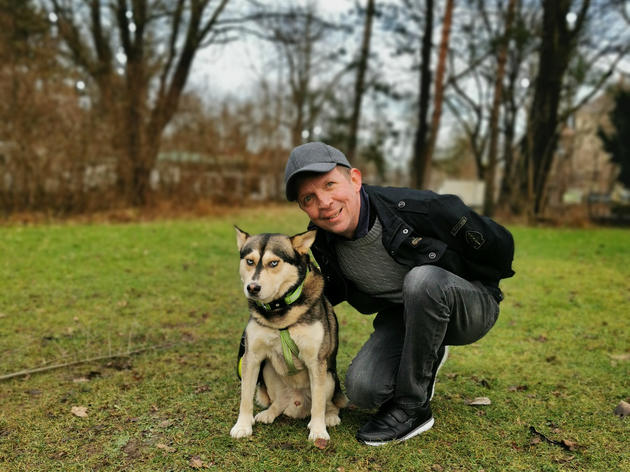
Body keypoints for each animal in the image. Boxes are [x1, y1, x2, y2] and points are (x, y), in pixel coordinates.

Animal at [231, 228, 350, 442]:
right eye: (250, 261)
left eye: (274, 263)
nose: (252, 287)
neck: (280, 311)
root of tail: (297, 404)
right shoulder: (252, 357)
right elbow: (245, 397)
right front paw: (242, 426)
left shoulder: (316, 361)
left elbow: (318, 404)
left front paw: (318, 431)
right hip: (267, 371)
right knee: (278, 402)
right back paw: (269, 413)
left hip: (329, 377)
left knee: (326, 404)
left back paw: (329, 417)